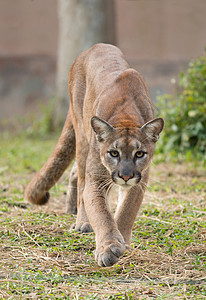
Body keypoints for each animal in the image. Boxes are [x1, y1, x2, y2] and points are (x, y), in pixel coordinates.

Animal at [25, 43, 164, 266]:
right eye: (113, 153)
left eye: (140, 153)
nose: (126, 176)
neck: (126, 115)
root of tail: (94, 47)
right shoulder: (97, 179)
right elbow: (101, 213)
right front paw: (108, 247)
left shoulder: (140, 181)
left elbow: (126, 210)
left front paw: (121, 241)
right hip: (82, 139)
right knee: (81, 181)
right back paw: (82, 221)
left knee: (76, 174)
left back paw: (72, 209)